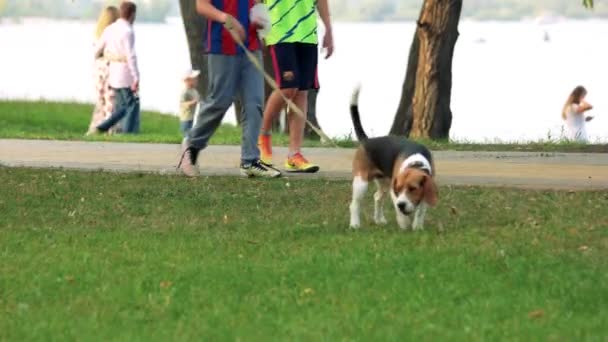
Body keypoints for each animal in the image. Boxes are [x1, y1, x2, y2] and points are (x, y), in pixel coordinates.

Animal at [352, 85, 436, 231]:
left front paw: (418, 227)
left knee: (377, 197)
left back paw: (379, 220)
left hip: (384, 182)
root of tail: (367, 140)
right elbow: (400, 213)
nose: (401, 205)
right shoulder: (393, 189)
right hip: (361, 182)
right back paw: (354, 224)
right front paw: (404, 224)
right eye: (399, 188)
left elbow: (420, 211)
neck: (415, 163)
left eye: (413, 188)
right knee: (354, 204)